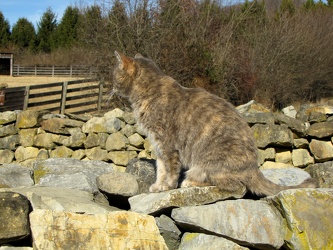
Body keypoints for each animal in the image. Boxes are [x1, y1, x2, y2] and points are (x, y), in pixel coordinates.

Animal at [112, 50, 316, 196]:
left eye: (115, 74)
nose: (110, 86)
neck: (147, 93)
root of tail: (254, 168)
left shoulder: (168, 145)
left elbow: (170, 170)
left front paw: (167, 186)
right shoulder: (158, 146)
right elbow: (161, 169)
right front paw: (158, 185)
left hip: (207, 163)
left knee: (235, 186)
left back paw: (189, 182)